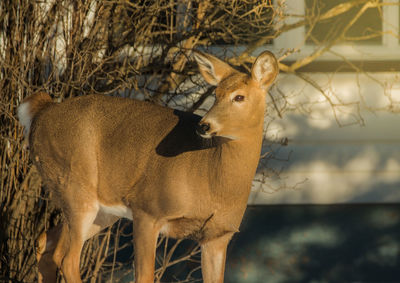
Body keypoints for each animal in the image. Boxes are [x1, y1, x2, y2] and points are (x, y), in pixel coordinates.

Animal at [18, 51, 278, 283]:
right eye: (216, 94)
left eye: (239, 97)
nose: (204, 126)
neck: (212, 179)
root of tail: (42, 112)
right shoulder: (148, 209)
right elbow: (144, 277)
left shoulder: (217, 236)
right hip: (75, 187)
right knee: (67, 259)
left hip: (102, 211)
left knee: (46, 243)